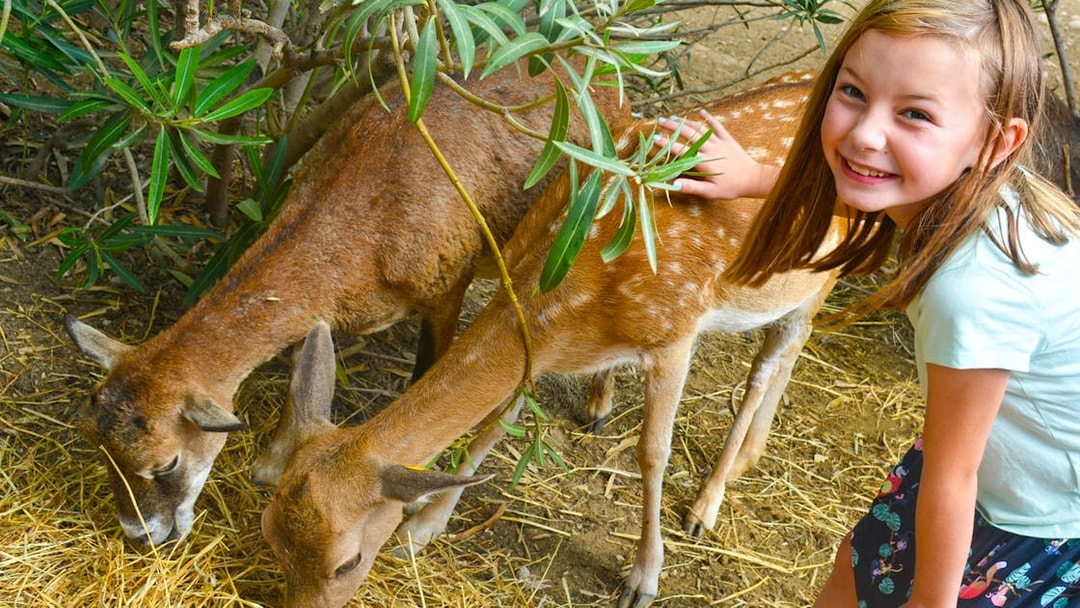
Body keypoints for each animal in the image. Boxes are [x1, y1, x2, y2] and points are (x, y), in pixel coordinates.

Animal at [63, 58, 628, 548]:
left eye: (166, 463)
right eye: (96, 445)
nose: (141, 534)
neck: (367, 223)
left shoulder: (449, 286)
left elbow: (425, 375)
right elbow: (304, 366)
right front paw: (272, 464)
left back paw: (598, 408)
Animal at [259, 72, 841, 608]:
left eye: (347, 561)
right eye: (268, 529)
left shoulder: (675, 330)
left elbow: (653, 453)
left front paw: (644, 578)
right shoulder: (538, 341)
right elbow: (498, 422)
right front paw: (421, 529)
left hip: (823, 274)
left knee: (775, 356)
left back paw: (706, 504)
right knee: (783, 354)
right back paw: (743, 461)